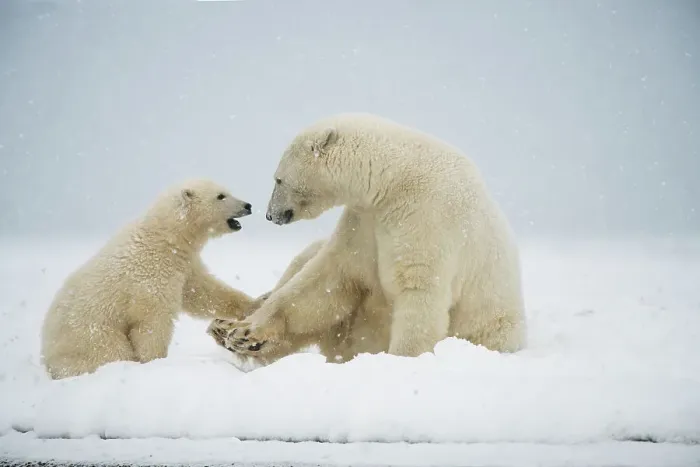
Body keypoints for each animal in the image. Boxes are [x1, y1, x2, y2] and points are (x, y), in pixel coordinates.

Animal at [40, 178, 256, 380]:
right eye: (221, 196)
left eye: (227, 191)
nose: (248, 205)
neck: (164, 236)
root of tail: (47, 359)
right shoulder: (151, 275)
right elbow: (153, 322)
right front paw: (155, 361)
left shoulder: (184, 265)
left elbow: (202, 293)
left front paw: (252, 304)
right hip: (92, 335)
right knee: (112, 351)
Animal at [207, 112, 527, 365]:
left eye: (278, 179)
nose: (270, 215)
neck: (395, 180)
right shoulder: (365, 222)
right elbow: (327, 280)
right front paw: (245, 332)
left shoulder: (428, 218)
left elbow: (419, 292)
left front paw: (401, 360)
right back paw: (224, 327)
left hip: (492, 326)